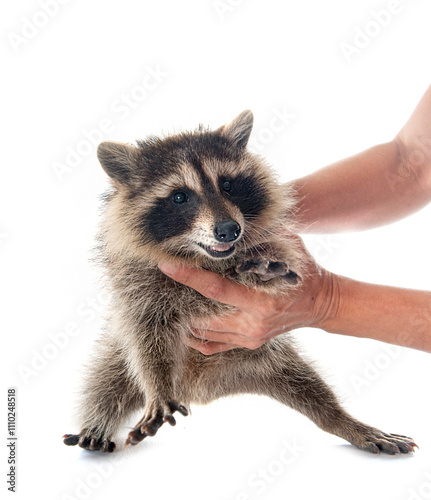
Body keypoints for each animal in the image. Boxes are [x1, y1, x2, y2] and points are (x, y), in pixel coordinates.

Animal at [62, 111, 416, 456]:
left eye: (228, 184)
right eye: (179, 196)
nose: (228, 230)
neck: (201, 257)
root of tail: (201, 387)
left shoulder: (272, 241)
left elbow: (280, 256)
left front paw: (260, 270)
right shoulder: (136, 281)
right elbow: (146, 333)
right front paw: (157, 387)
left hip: (266, 357)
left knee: (310, 386)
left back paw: (340, 419)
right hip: (118, 356)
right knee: (106, 380)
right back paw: (99, 421)